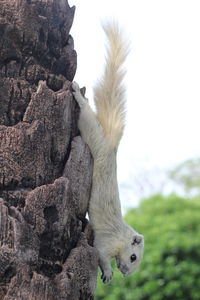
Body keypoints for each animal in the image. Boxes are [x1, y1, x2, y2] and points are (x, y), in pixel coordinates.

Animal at [72, 20, 144, 284]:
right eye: (133, 257)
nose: (125, 272)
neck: (122, 237)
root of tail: (110, 146)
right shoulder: (106, 242)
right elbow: (101, 255)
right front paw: (108, 273)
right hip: (92, 135)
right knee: (86, 116)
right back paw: (78, 94)